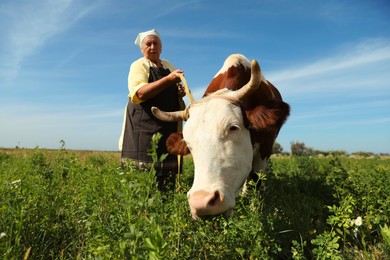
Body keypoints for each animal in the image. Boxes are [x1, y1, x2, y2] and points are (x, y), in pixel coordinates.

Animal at [152, 53, 290, 219]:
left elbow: (257, 180)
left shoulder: (265, 149)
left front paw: (255, 211)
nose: (201, 202)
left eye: (233, 128)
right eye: (188, 143)